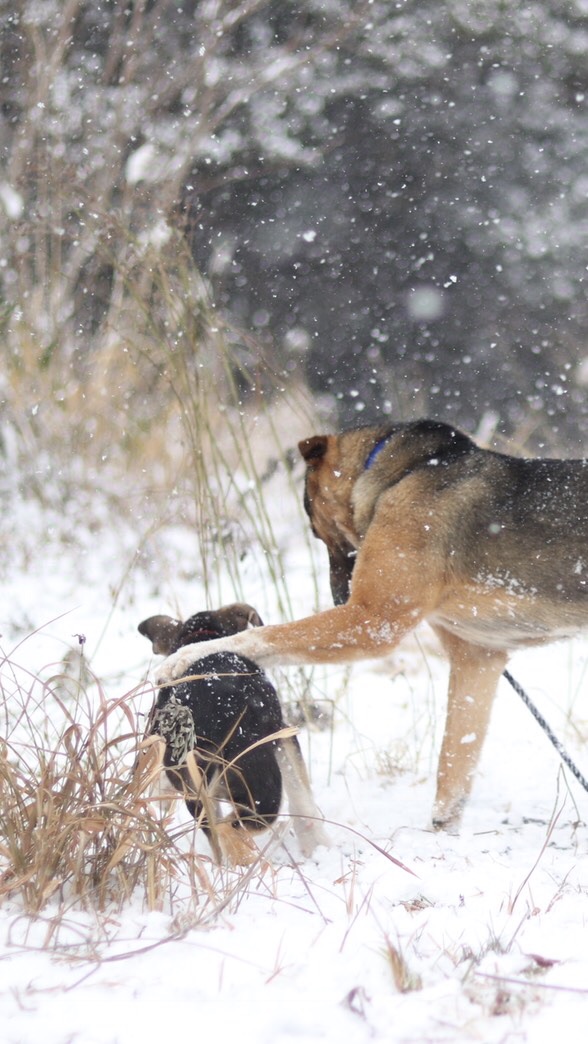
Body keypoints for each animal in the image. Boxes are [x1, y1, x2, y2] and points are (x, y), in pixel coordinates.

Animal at [155, 419, 588, 826]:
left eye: (315, 529)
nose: (337, 599)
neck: (403, 473)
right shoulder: (478, 657)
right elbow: (453, 769)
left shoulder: (372, 620)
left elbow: (262, 636)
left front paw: (188, 656)